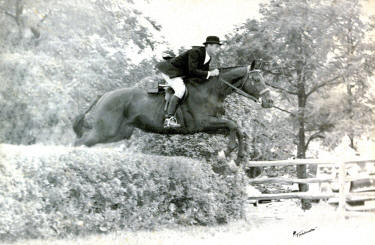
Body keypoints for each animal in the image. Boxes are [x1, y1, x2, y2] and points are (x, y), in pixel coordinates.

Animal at [73, 64, 274, 166]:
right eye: (256, 80)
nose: (270, 101)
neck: (211, 90)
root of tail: (104, 95)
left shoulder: (212, 126)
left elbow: (237, 129)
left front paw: (238, 158)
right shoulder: (204, 122)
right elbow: (233, 125)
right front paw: (226, 152)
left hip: (118, 133)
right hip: (105, 131)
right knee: (79, 142)